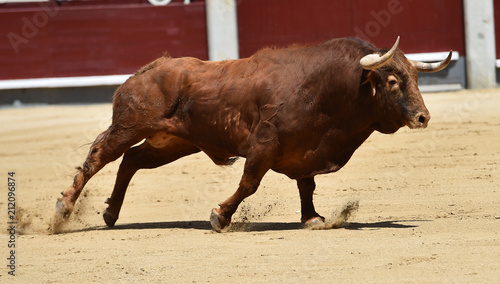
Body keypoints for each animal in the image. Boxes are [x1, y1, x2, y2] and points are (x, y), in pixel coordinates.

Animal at [56, 36, 452, 231]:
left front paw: (312, 218)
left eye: (414, 78)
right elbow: (250, 182)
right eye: (392, 81)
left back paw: (111, 214)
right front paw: (220, 217)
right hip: (128, 126)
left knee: (131, 160)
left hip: (173, 143)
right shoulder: (266, 142)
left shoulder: (303, 149)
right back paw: (64, 208)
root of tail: (146, 70)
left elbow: (306, 185)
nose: (422, 117)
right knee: (98, 158)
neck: (332, 89)